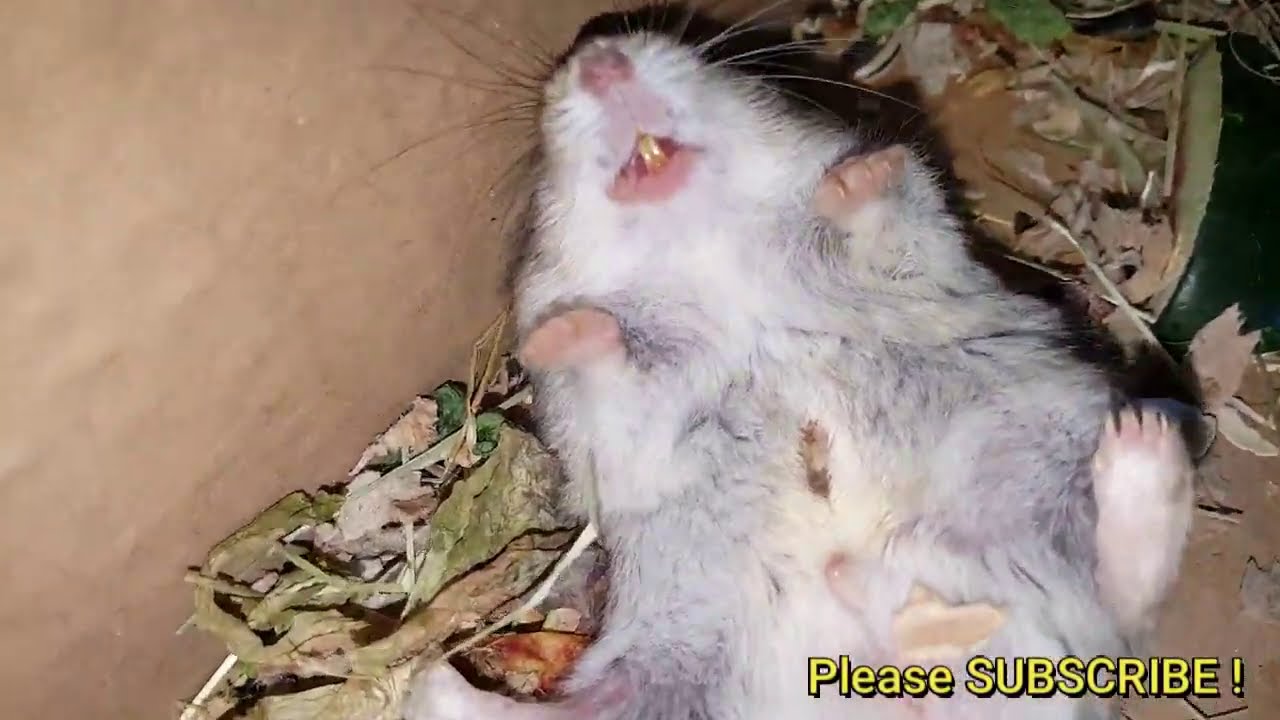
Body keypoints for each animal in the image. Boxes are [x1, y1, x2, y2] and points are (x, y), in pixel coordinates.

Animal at [403, 5, 1195, 720]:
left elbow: (888, 213)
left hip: (1040, 465)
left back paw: (1141, 448)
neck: (706, 245)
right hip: (674, 663)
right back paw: (437, 684)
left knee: (1116, 601)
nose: (600, 60)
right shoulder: (615, 433)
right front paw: (558, 336)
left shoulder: (925, 248)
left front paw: (861, 174)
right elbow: (612, 374)